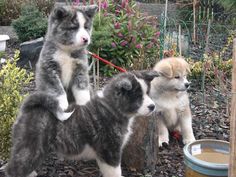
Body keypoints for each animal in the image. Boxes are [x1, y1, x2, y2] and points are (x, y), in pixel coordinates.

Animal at [5, 70, 159, 177]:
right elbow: (115, 172)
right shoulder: (110, 150)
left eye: (148, 93)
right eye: (138, 97)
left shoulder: (103, 154)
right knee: (13, 169)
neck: (112, 107)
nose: (153, 106)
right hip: (31, 147)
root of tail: (29, 108)